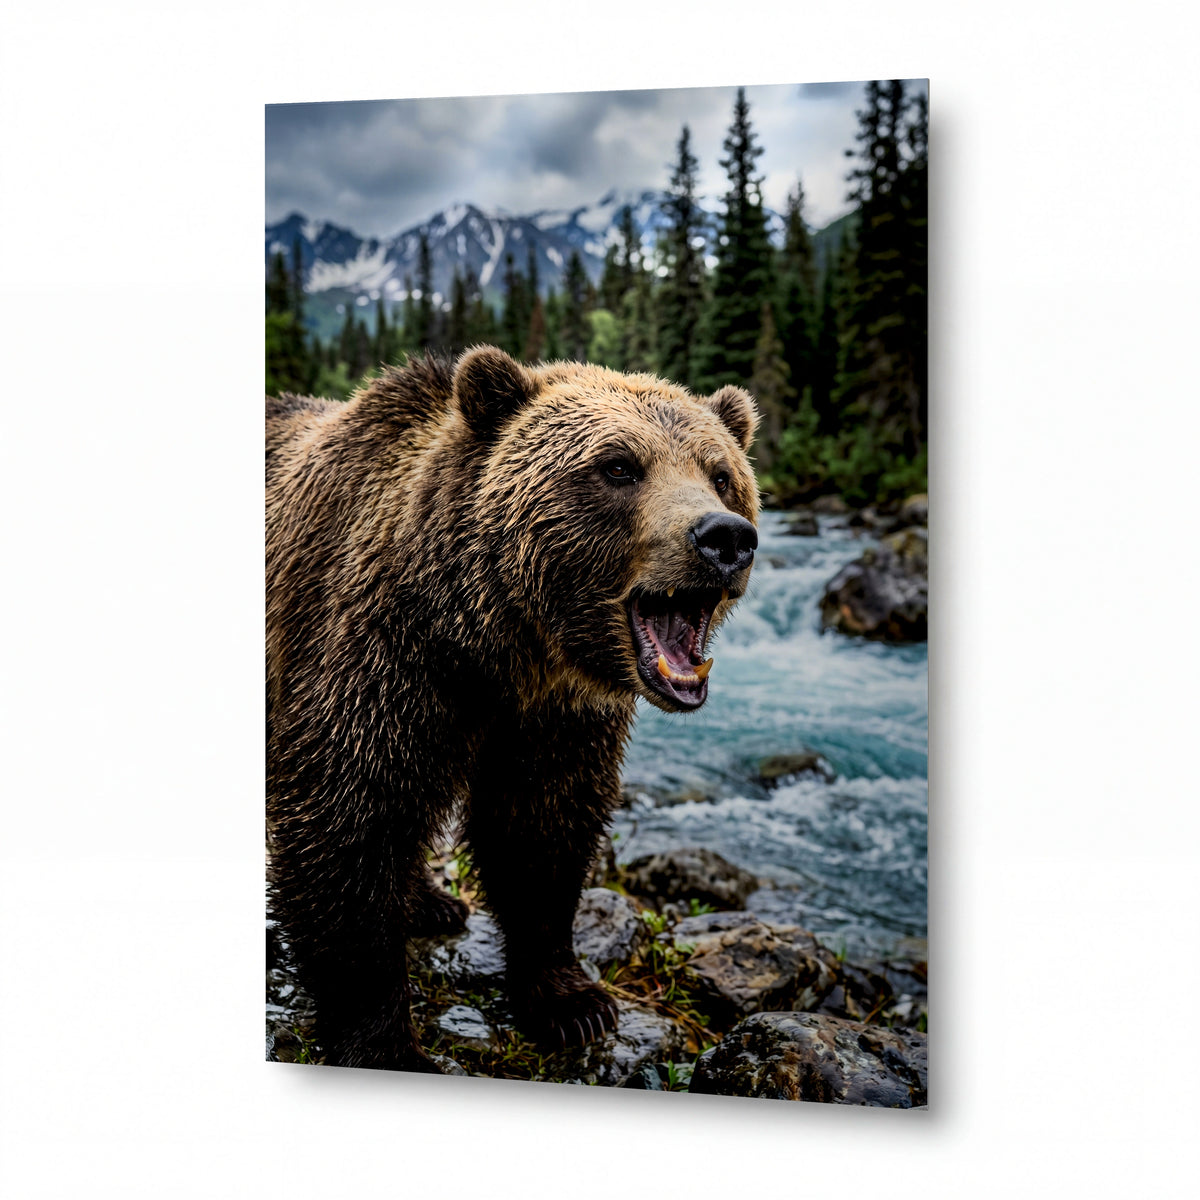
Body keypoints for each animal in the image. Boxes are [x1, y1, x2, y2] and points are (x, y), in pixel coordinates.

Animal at [266, 347, 759, 1072]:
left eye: (721, 474)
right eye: (618, 466)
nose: (724, 537)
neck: (499, 643)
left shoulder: (554, 714)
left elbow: (541, 828)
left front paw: (572, 1003)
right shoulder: (376, 658)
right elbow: (348, 817)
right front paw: (386, 1043)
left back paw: (430, 903)